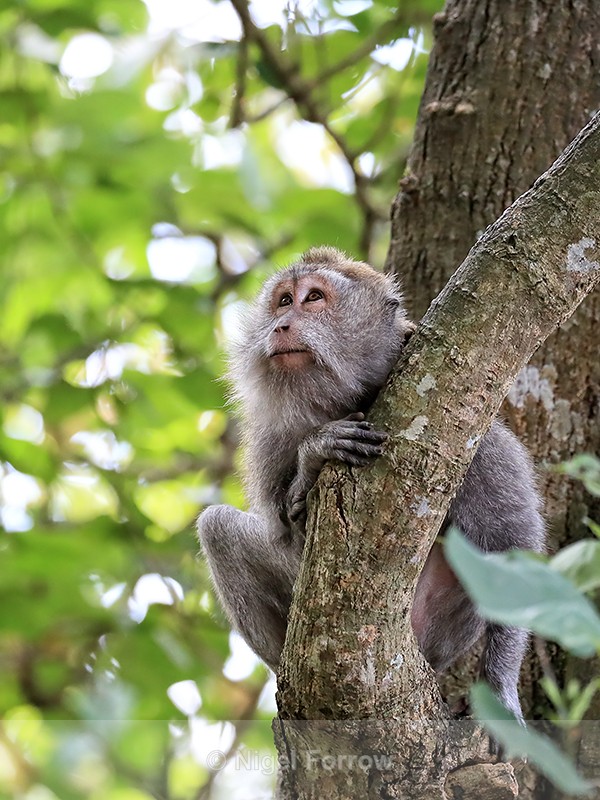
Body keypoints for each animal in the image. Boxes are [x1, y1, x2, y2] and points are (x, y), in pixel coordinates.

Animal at [197, 246, 546, 723]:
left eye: (314, 298)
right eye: (283, 302)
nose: (281, 325)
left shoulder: (478, 438)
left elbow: (511, 542)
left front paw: (500, 687)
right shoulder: (271, 434)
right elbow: (284, 529)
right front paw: (314, 455)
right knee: (216, 525)